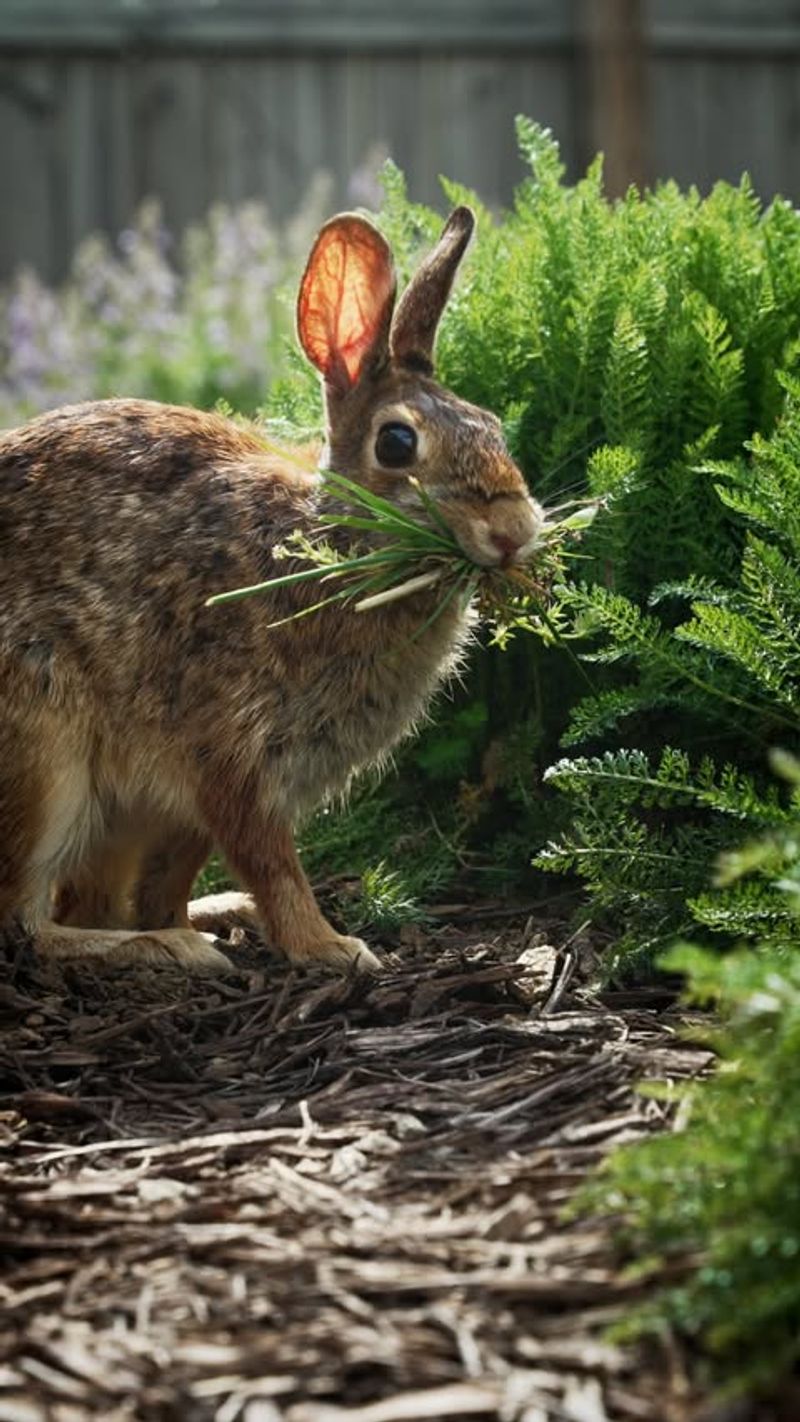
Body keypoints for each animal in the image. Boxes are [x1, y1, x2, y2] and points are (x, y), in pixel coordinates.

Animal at [0, 205, 544, 977]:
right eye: (398, 444)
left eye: (493, 426)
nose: (514, 531)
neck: (326, 544)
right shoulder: (230, 754)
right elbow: (272, 863)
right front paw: (331, 947)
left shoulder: (184, 802)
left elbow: (177, 874)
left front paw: (230, 922)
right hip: (45, 757)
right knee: (24, 924)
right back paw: (165, 948)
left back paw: (205, 921)